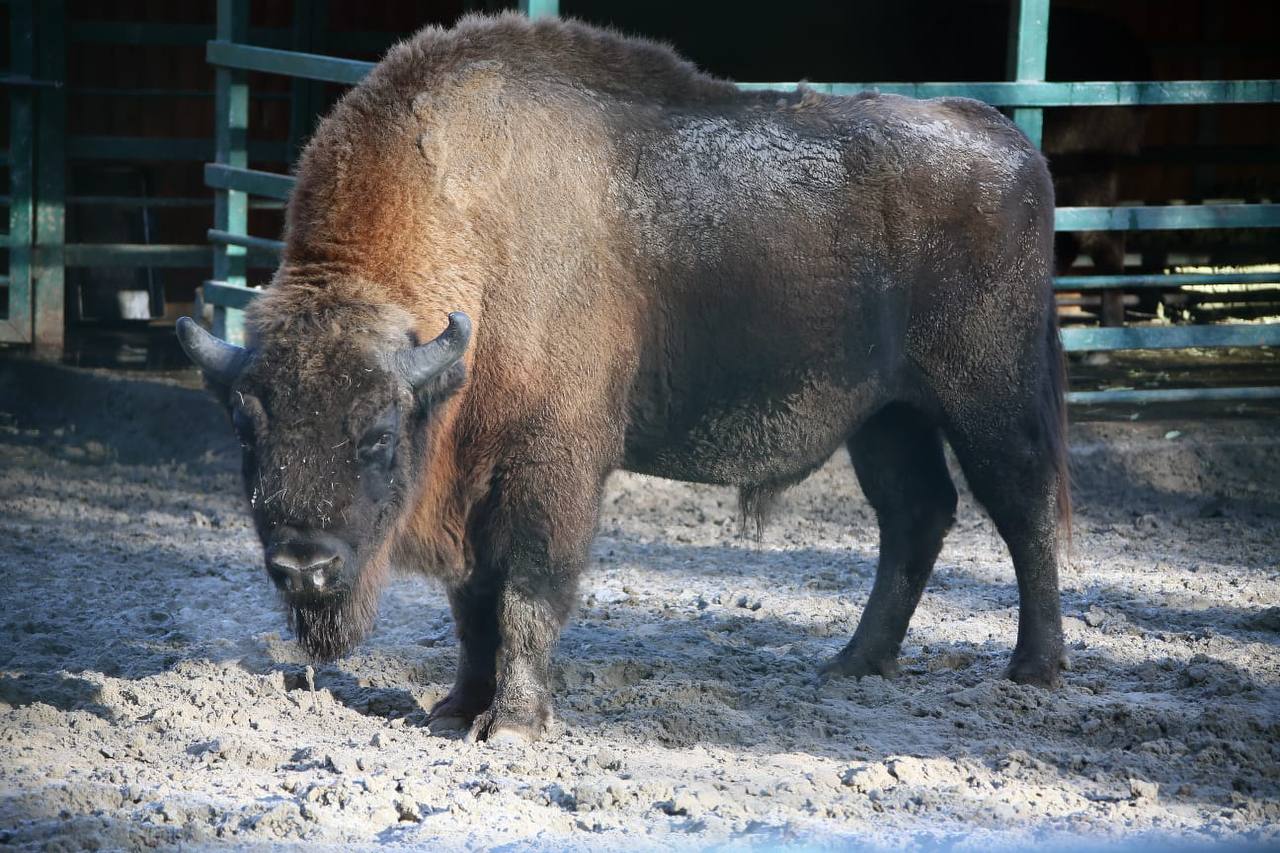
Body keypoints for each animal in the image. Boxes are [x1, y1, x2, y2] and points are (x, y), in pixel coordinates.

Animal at [172, 14, 1070, 742]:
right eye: (247, 431)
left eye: (377, 434)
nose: (303, 566)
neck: (475, 239)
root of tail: (1008, 142)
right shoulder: (473, 484)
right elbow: (473, 606)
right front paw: (456, 709)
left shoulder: (551, 467)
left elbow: (527, 592)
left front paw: (514, 724)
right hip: (886, 416)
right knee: (915, 514)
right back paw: (853, 662)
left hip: (985, 395)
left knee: (1022, 508)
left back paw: (1033, 669)